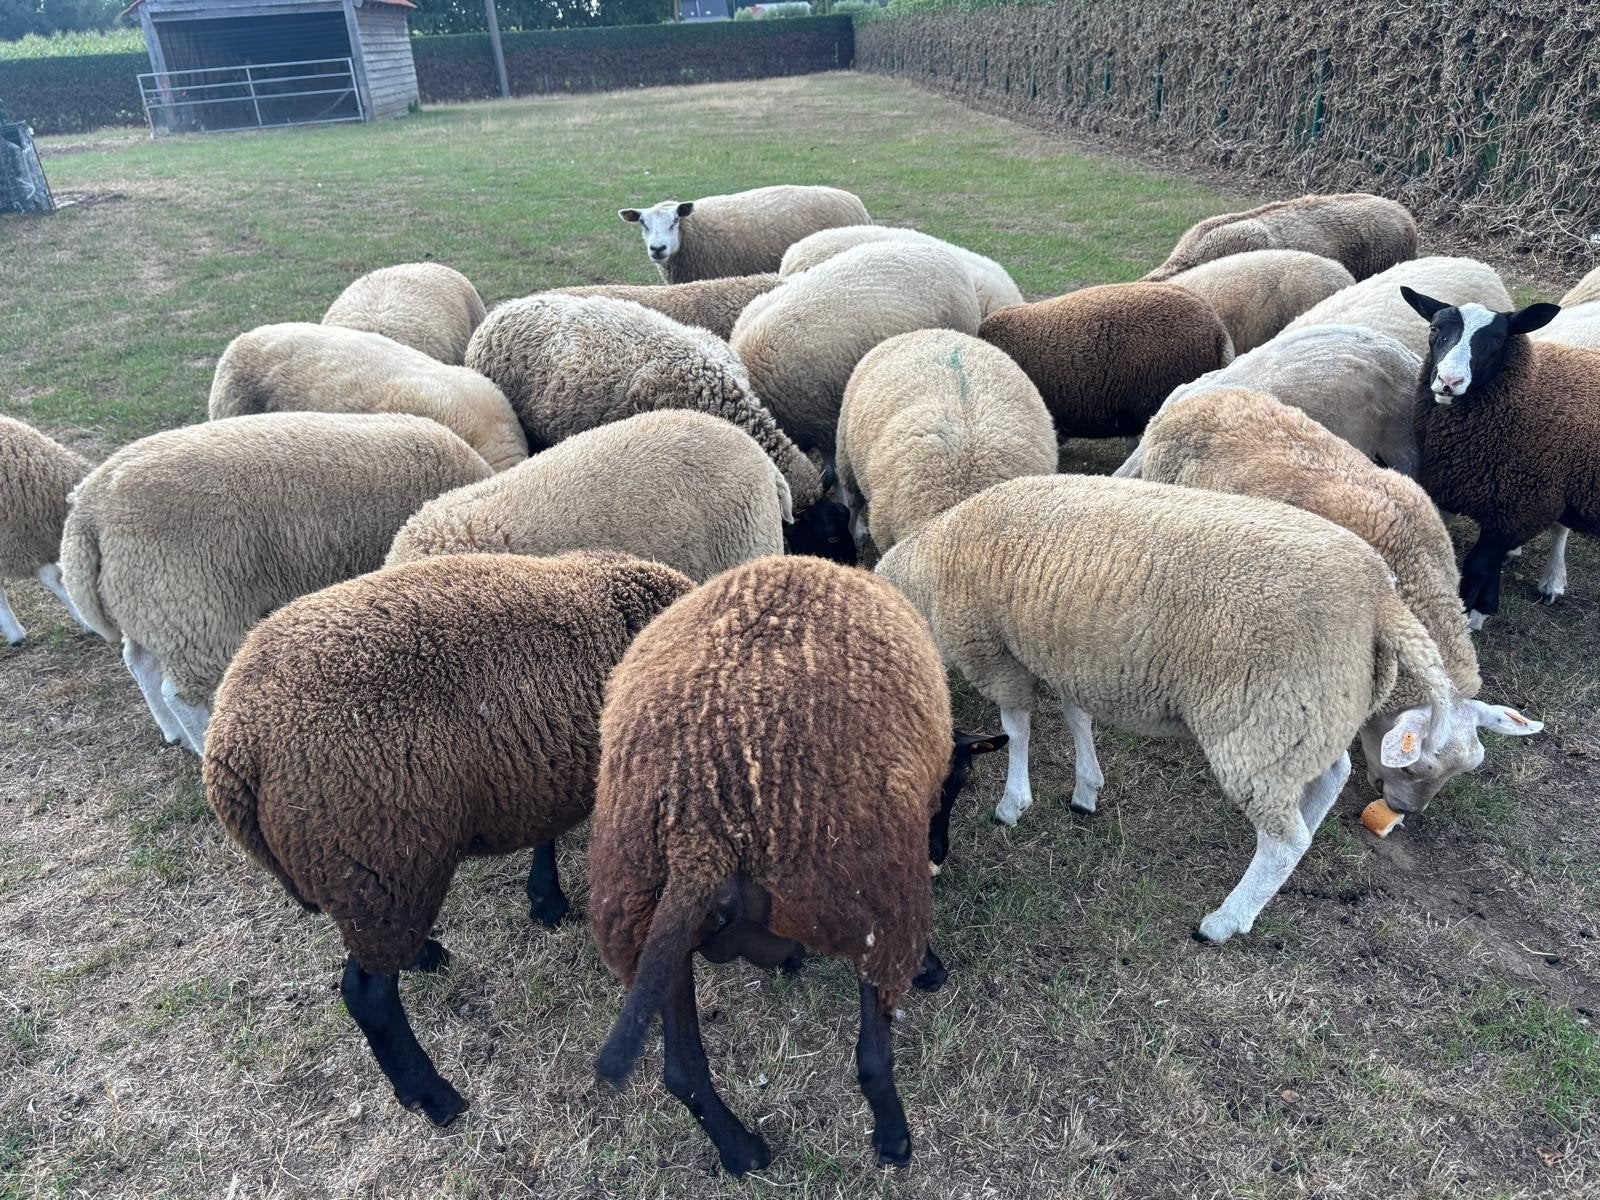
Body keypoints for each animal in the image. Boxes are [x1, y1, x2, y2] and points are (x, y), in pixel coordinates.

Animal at [60, 412, 492, 755]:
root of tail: (89, 509)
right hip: (190, 606)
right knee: (181, 693)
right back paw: (199, 748)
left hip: (148, 604)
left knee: (138, 662)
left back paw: (171, 733)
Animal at [205, 550, 694, 1127]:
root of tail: (233, 752)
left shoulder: (544, 770)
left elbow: (545, 833)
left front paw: (545, 900)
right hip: (380, 860)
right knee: (367, 994)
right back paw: (434, 1095)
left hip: (372, 880)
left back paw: (424, 957)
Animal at [587, 555, 1005, 1174]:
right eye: (957, 784)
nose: (938, 854)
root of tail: (698, 827)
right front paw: (931, 968)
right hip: (865, 886)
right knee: (871, 1057)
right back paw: (894, 1138)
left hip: (648, 927)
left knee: (682, 1071)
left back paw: (742, 1151)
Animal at [877, 473, 1456, 943]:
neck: (928, 569)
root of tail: (1381, 596)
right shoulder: (1068, 656)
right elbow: (1077, 718)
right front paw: (1086, 790)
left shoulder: (994, 653)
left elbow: (1016, 731)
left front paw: (1013, 803)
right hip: (1310, 713)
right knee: (1330, 777)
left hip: (1264, 719)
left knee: (1281, 841)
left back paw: (1226, 920)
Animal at [1402, 287, 1599, 626]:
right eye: (1434, 329)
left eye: (1497, 338)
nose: (1449, 382)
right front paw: (1484, 607)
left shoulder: (1523, 506)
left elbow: (1477, 565)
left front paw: (1470, 613)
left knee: (1561, 529)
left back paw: (1553, 581)